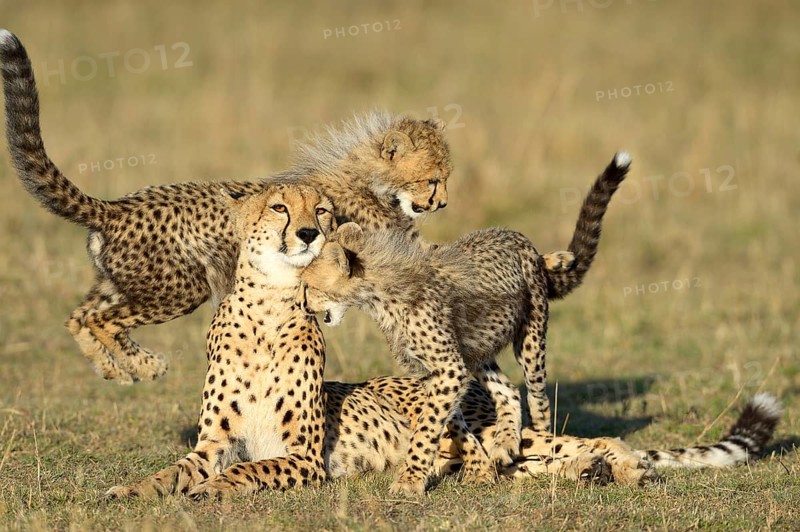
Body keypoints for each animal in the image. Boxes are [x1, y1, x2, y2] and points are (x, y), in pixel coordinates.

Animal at [0, 29, 452, 385]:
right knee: (101, 320)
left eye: (446, 177)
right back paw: (145, 366)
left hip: (122, 282)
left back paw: (114, 370)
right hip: (179, 288)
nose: (442, 202)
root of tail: (115, 207)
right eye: (433, 179)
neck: (369, 178)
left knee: (77, 318)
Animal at [300, 152, 631, 495]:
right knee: (508, 390)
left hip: (531, 339)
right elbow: (450, 421)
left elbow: (428, 427)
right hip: (477, 349)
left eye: (308, 286)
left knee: (537, 401)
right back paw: (505, 441)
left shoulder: (449, 368)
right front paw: (477, 468)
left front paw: (410, 480)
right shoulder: (434, 371)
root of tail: (515, 235)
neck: (380, 290)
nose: (303, 304)